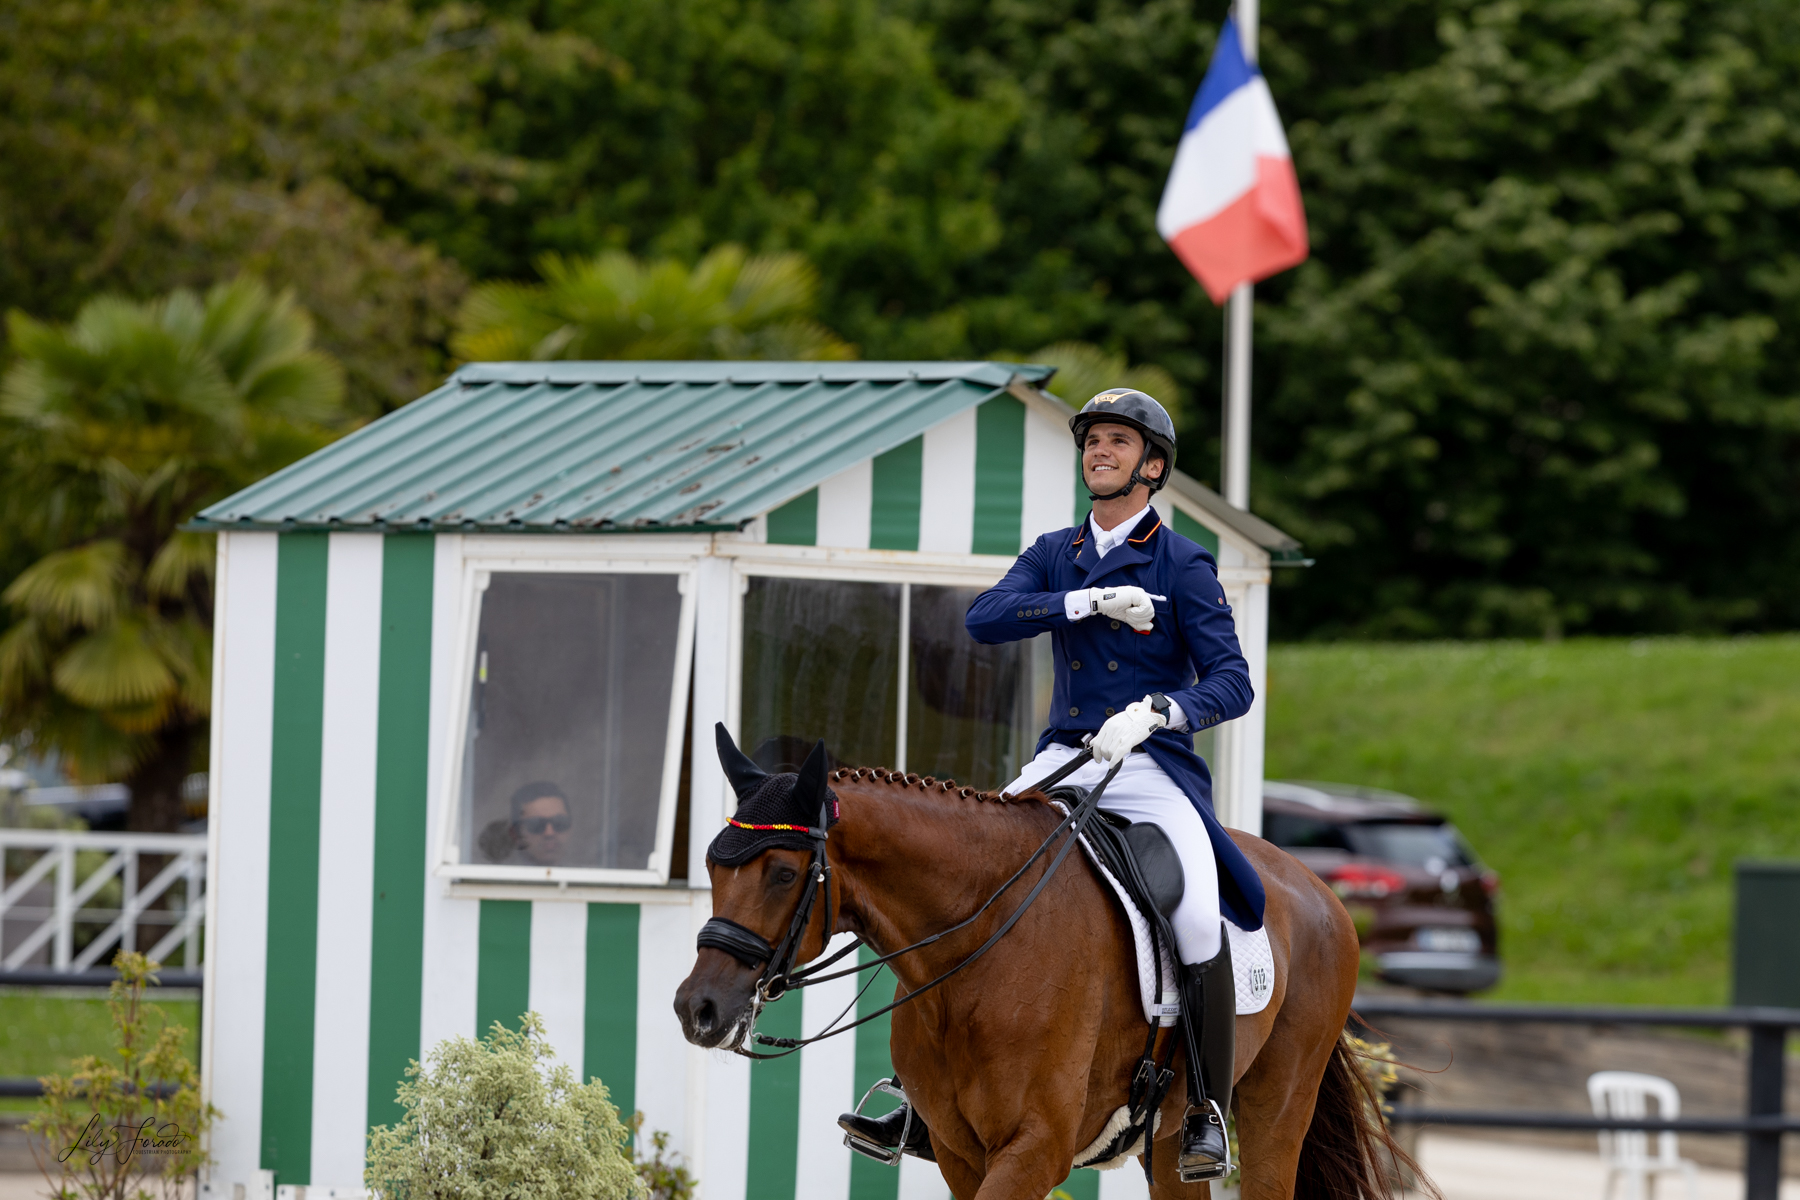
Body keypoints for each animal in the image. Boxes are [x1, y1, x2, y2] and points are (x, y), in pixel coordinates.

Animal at [676, 766, 1404, 1194]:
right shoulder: (959, 1152)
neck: (977, 950)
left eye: (782, 874)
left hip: (1275, 1116)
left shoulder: (1035, 1148)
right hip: (1168, 1141)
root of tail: (1315, 885)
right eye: (711, 866)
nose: (697, 1008)